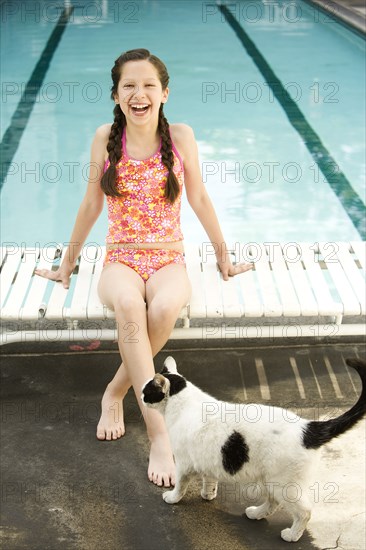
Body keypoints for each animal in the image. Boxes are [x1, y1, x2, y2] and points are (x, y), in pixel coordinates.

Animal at [142, 358, 366, 544]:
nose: (141, 398)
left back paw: (292, 535)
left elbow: (180, 485)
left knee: (304, 512)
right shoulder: (207, 459)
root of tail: (308, 427)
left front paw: (173, 498)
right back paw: (256, 513)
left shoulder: (182, 464)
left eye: (147, 392)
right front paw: (208, 494)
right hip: (270, 480)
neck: (184, 403)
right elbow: (209, 479)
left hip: (284, 485)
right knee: (273, 502)